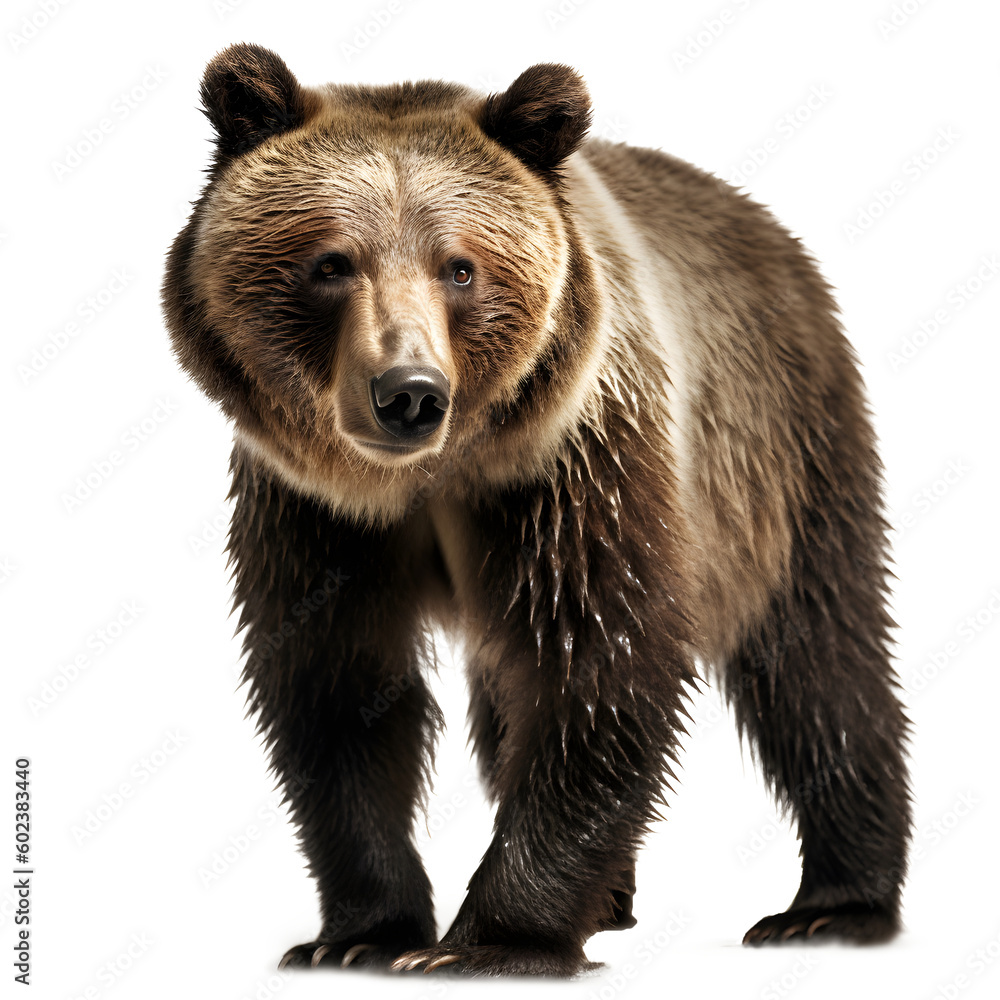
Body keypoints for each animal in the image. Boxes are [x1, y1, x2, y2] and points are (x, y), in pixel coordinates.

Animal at [162, 43, 912, 976]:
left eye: (460, 266)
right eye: (331, 262)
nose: (408, 393)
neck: (431, 477)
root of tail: (769, 227)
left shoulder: (576, 463)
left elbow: (598, 664)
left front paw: (489, 941)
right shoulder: (313, 513)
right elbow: (338, 686)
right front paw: (363, 932)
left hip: (780, 445)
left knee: (820, 650)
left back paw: (831, 906)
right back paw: (619, 897)